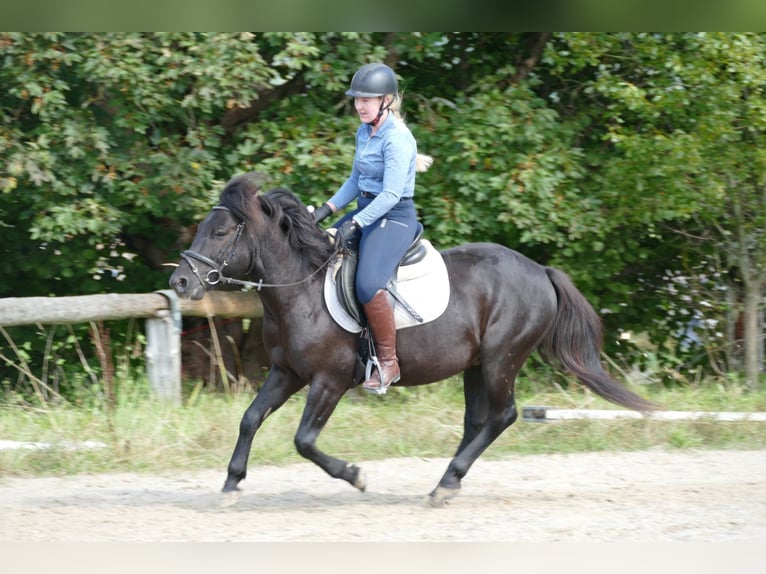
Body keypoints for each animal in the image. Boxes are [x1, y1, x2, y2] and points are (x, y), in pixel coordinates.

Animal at [171, 172, 656, 508]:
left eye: (219, 233)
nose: (179, 283)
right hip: (476, 366)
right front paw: (231, 484)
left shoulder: (329, 380)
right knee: (478, 421)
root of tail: (541, 271)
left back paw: (446, 483)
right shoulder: (287, 373)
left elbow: (304, 441)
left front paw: (356, 475)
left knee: (503, 416)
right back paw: (446, 483)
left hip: (502, 359)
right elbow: (250, 419)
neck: (300, 288)